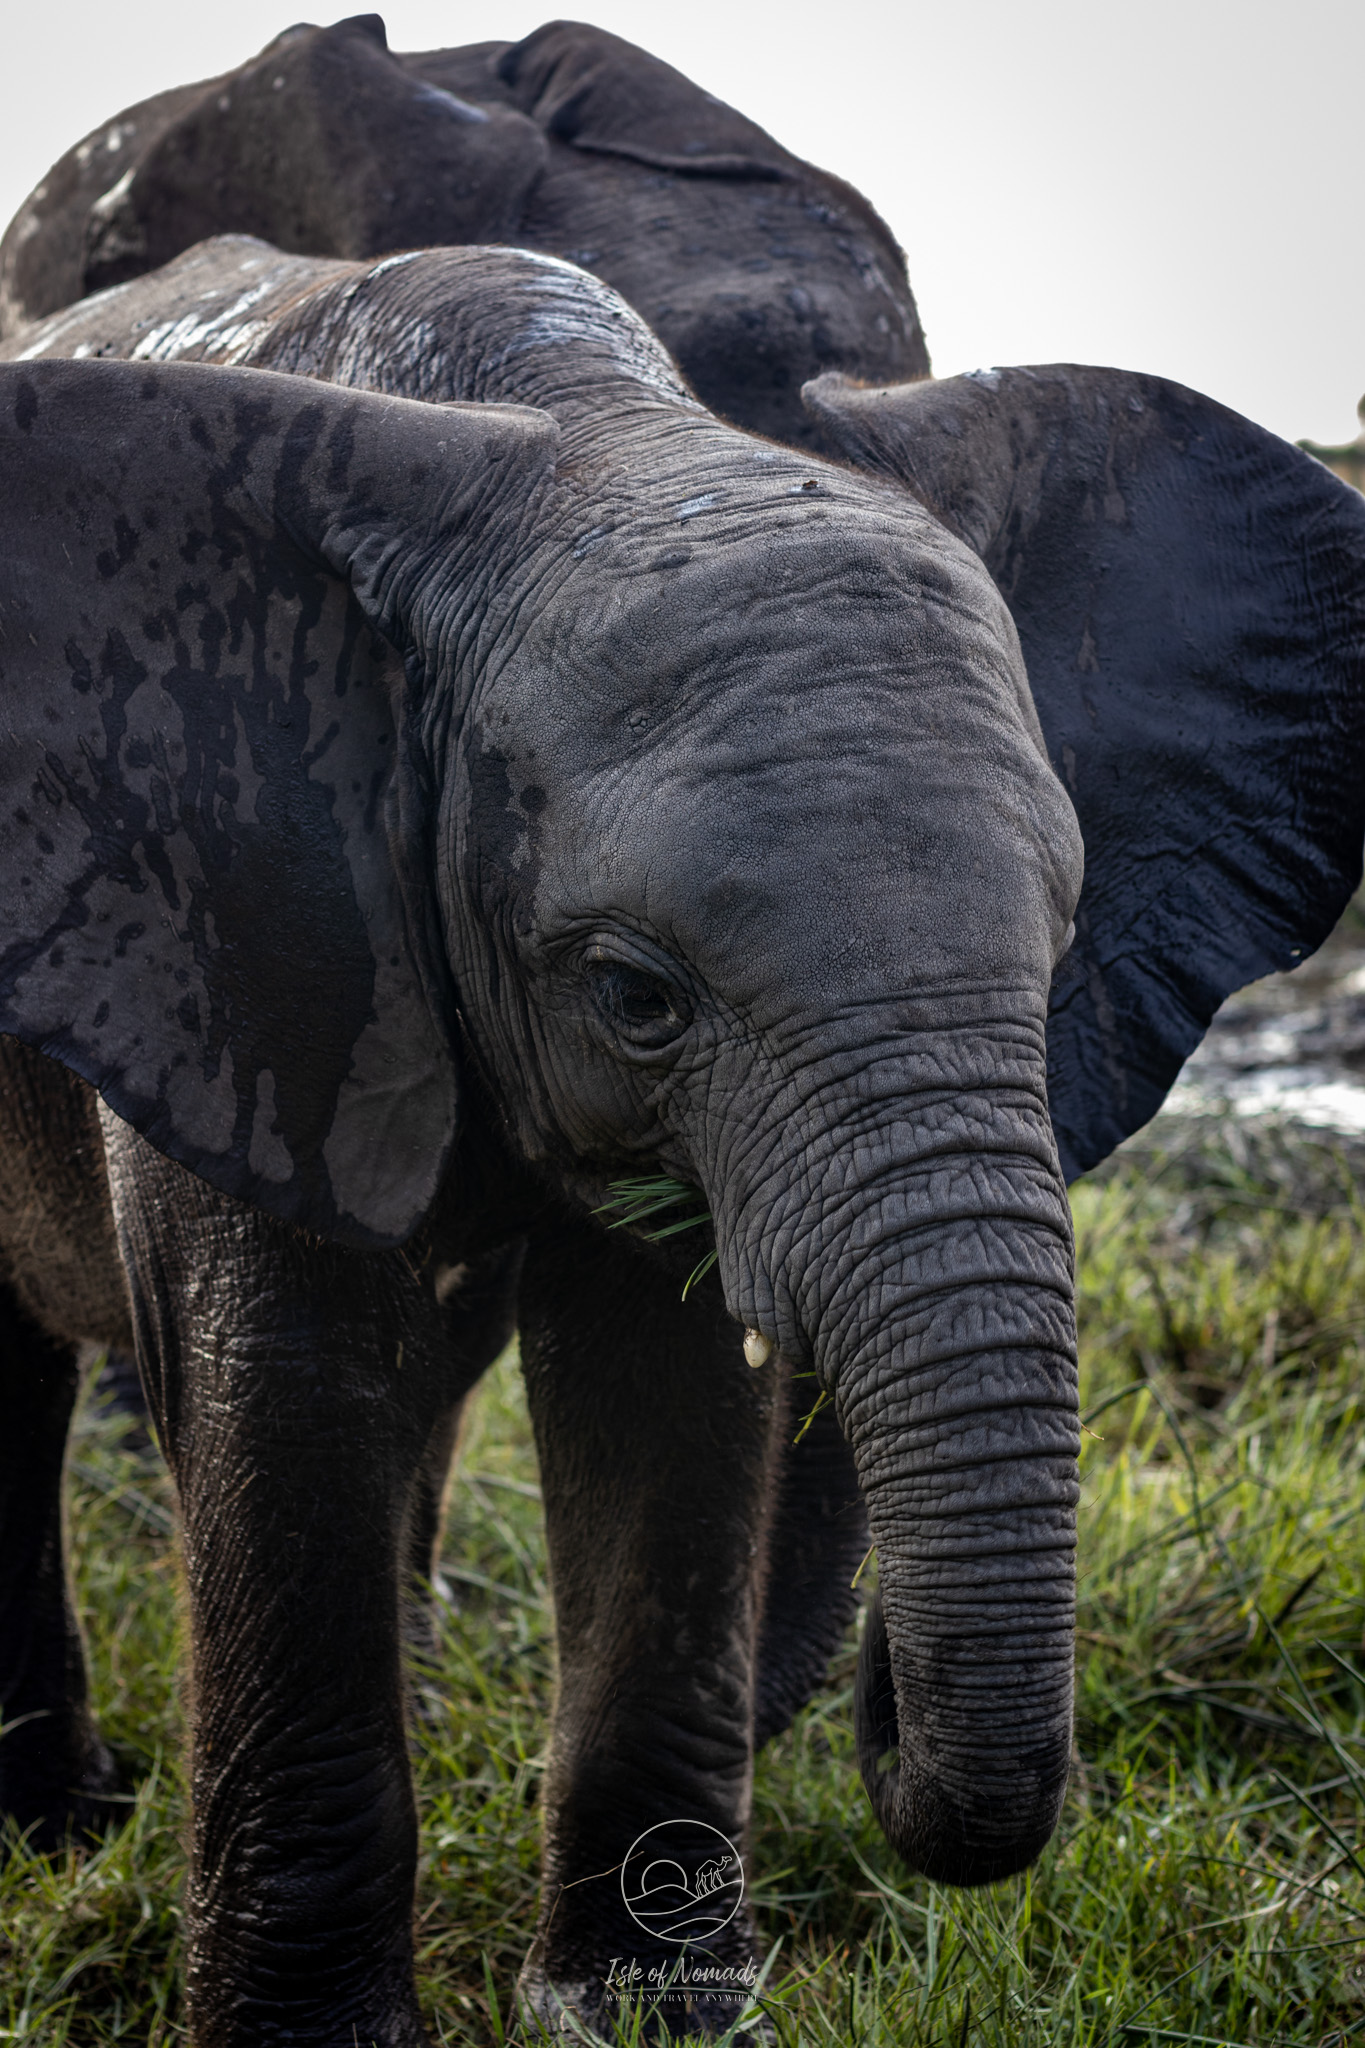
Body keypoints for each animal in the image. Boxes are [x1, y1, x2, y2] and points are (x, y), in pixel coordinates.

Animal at [1, 232, 1364, 2045]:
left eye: (1063, 945)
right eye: (635, 994)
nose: (879, 1703)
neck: (576, 424)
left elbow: (669, 1391)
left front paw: (644, 2017)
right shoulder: (240, 928)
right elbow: (280, 1395)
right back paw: (54, 1829)